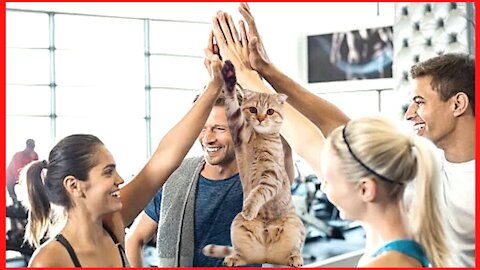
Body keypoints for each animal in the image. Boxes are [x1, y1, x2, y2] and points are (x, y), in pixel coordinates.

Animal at [202, 60, 304, 266]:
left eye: (270, 111)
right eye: (253, 109)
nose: (261, 119)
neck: (259, 138)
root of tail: (267, 254)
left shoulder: (272, 176)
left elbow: (259, 191)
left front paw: (250, 208)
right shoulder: (237, 130)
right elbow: (232, 104)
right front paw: (229, 76)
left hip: (294, 223)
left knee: (295, 248)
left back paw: (295, 258)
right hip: (237, 225)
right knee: (243, 255)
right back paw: (232, 258)